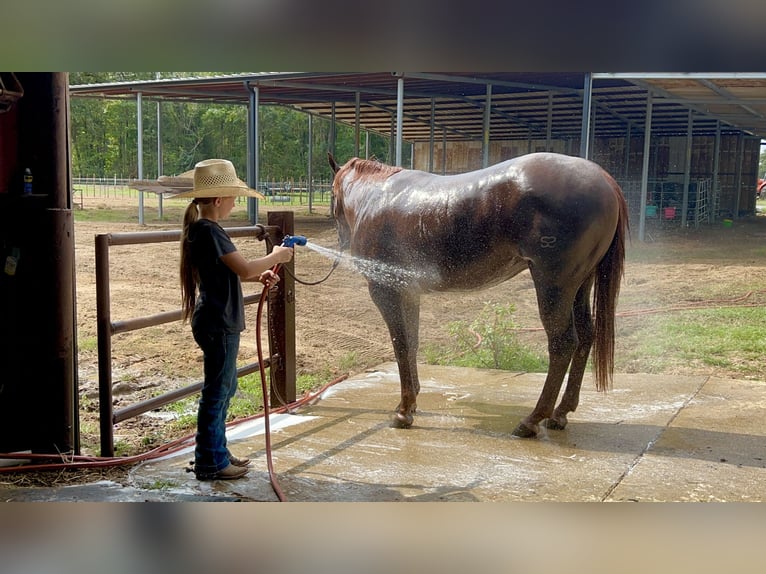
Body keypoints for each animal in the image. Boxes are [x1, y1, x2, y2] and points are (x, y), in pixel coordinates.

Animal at [330, 151, 632, 438]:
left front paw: (404, 412)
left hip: (554, 286)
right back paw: (560, 414)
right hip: (580, 285)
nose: (341, 243)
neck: (375, 198)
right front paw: (411, 401)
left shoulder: (386, 291)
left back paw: (531, 420)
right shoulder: (409, 292)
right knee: (586, 336)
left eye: (333, 197)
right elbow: (412, 343)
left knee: (563, 343)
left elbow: (401, 346)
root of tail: (604, 179)